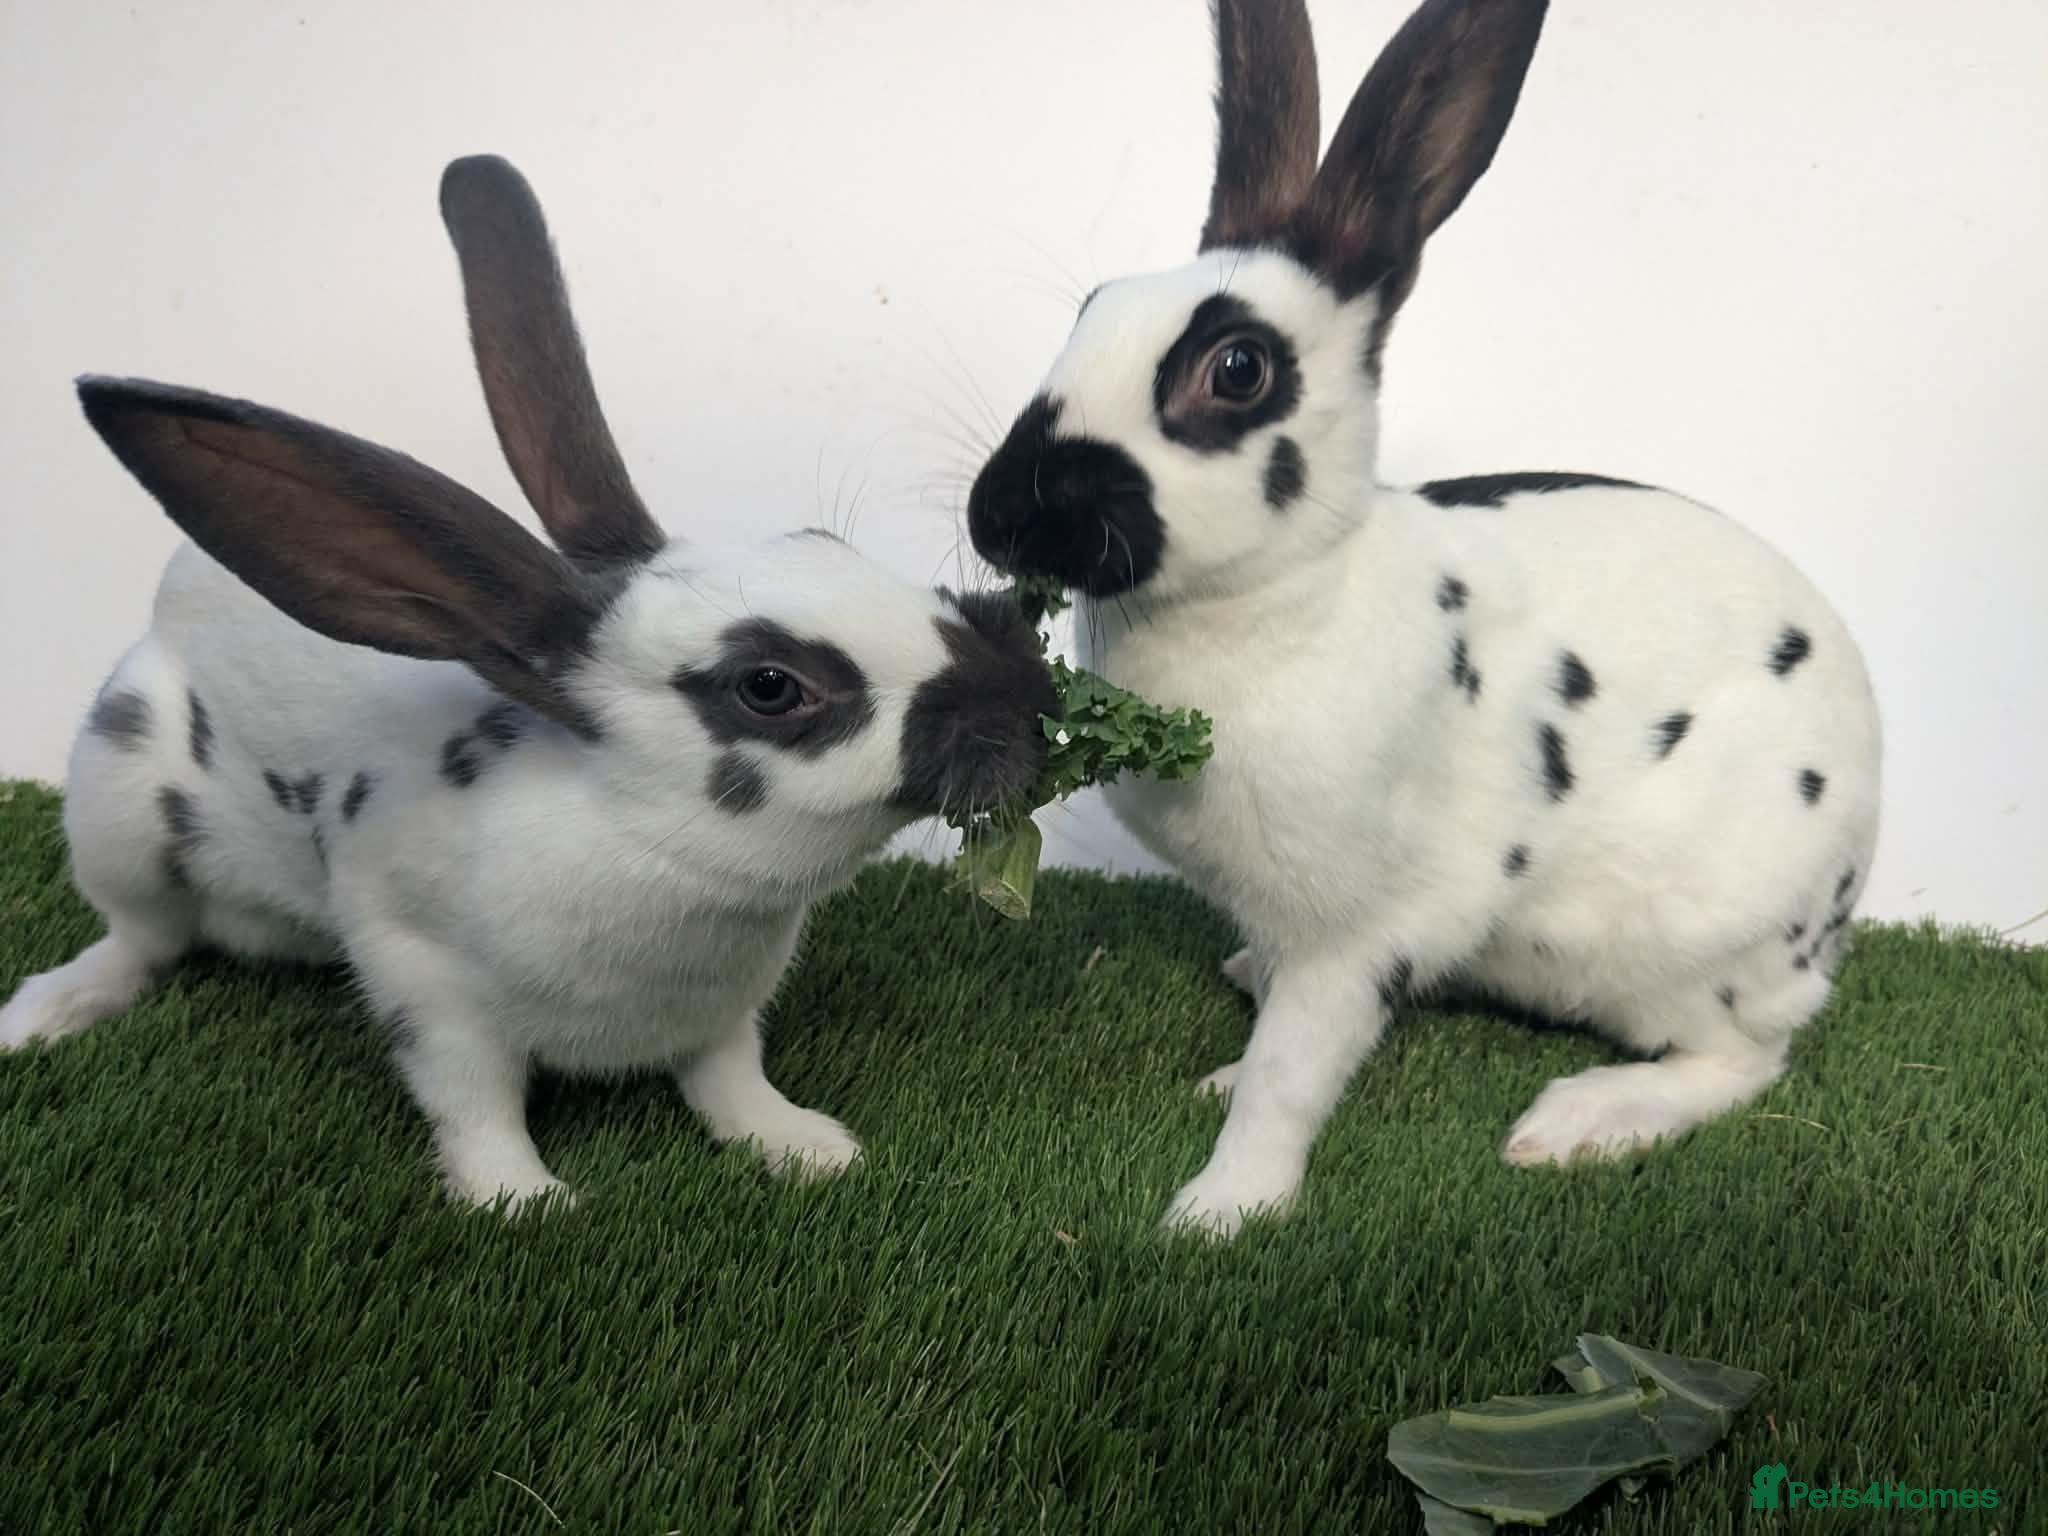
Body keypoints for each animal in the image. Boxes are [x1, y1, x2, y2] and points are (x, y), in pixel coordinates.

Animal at [0, 154, 1058, 1214]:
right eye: (769, 686)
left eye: (824, 541)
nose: (1030, 698)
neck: (660, 859)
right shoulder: (425, 990)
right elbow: (475, 1107)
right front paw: (523, 1203)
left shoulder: (725, 1011)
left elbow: (730, 1079)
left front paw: (807, 1149)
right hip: (119, 808)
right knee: (141, 938)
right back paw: (41, 1015)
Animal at [966, 0, 1881, 1237]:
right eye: (1090, 307)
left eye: (1236, 369)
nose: (999, 518)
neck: (1287, 589)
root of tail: (1838, 909)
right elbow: (1273, 1036)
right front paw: (1224, 1078)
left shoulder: (1357, 932)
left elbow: (1293, 1071)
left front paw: (1218, 1212)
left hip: (1694, 941)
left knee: (1740, 1059)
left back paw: (1578, 1120)